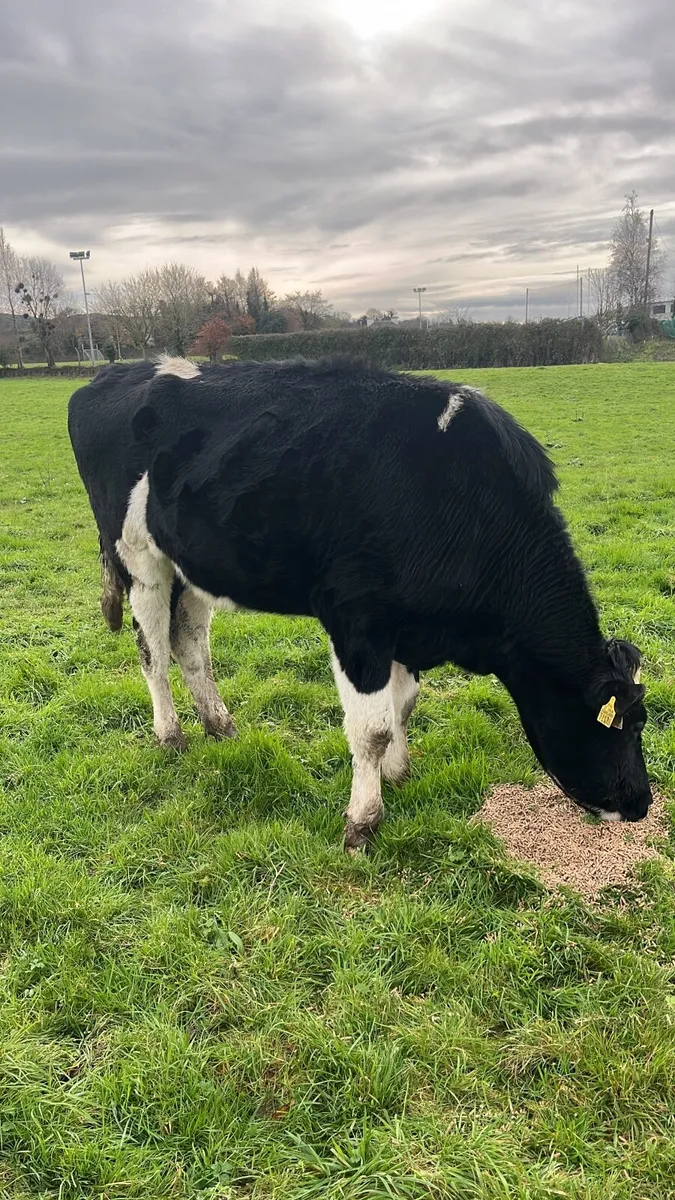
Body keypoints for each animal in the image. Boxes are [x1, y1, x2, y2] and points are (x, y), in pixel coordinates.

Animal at [67, 355, 651, 849]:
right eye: (621, 726)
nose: (641, 804)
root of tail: (113, 374)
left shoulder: (405, 630)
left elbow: (403, 705)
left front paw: (399, 772)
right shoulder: (357, 623)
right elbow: (371, 729)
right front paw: (363, 823)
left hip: (192, 566)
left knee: (189, 644)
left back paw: (221, 725)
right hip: (138, 558)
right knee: (152, 652)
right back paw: (170, 736)